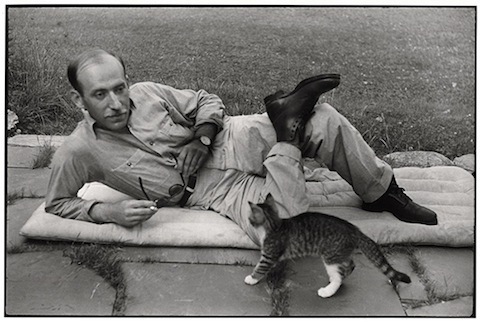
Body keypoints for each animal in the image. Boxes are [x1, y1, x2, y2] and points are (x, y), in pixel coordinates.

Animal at [246, 192, 410, 298]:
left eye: (250, 218)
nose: (248, 220)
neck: (274, 225)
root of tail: (354, 230)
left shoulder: (269, 254)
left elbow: (260, 267)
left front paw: (252, 278)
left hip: (330, 256)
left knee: (338, 277)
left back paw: (328, 290)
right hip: (340, 253)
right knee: (350, 265)